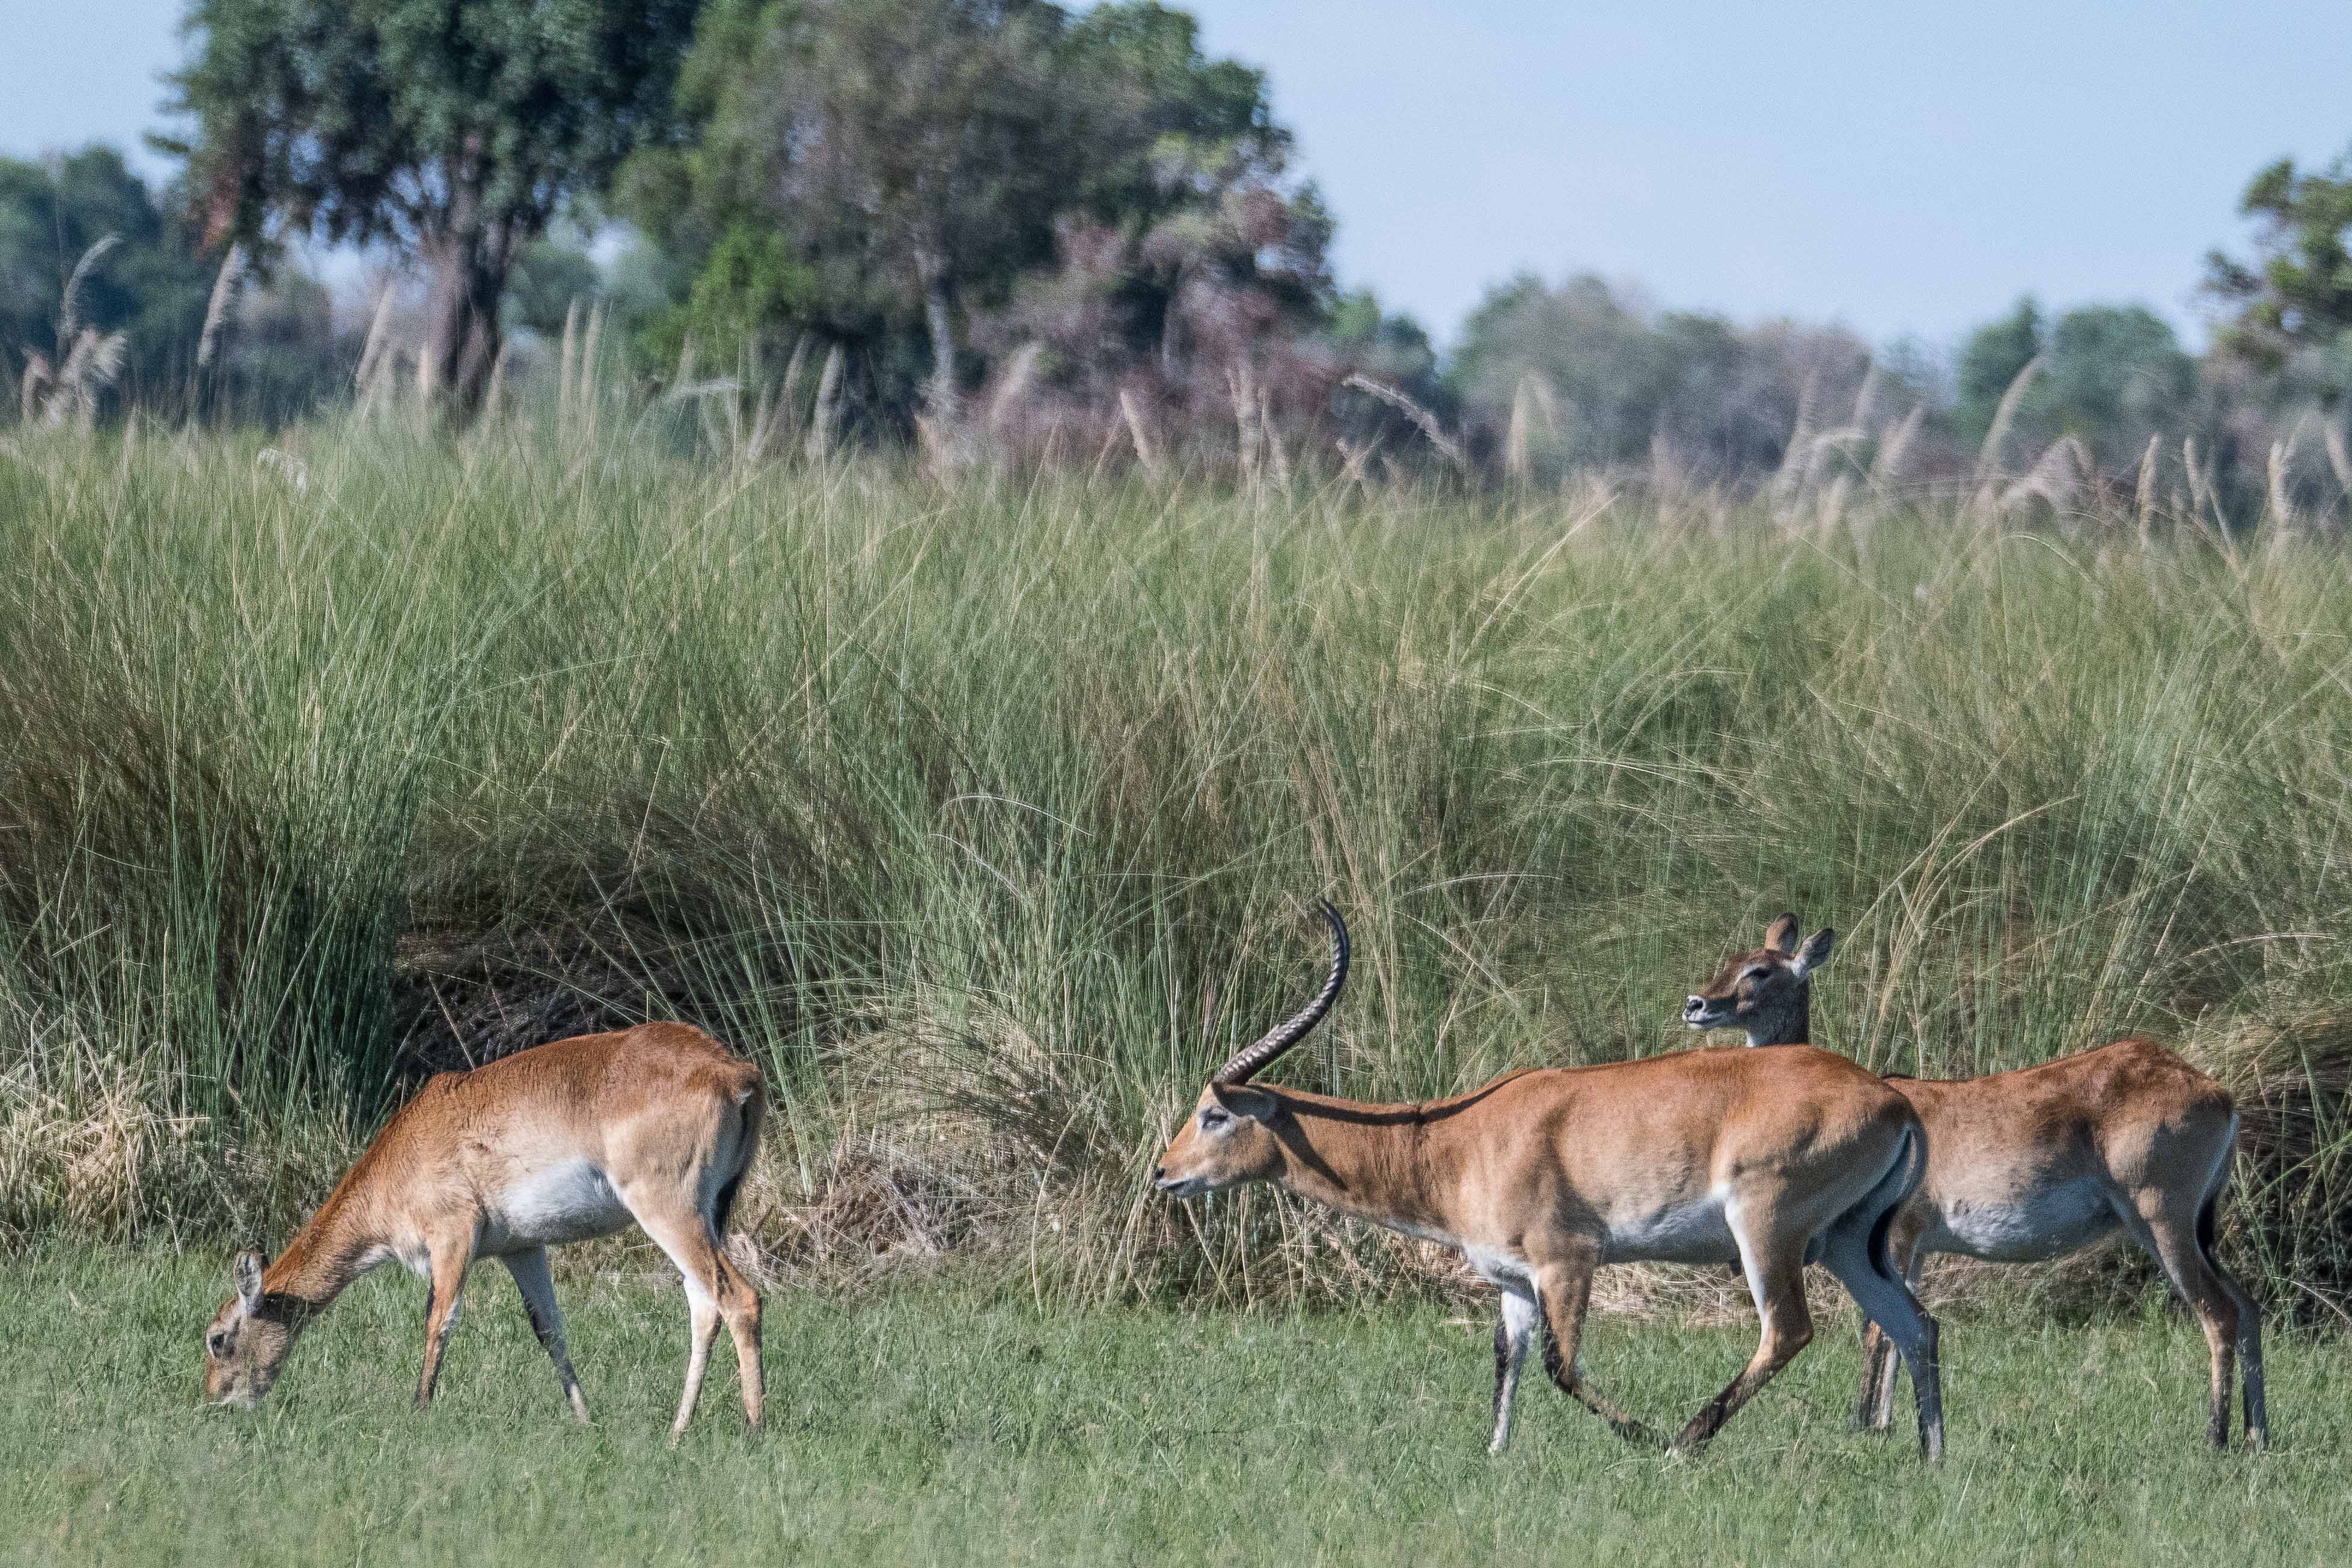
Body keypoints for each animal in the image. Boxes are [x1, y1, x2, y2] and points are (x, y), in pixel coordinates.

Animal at [203, 1025, 766, 1438]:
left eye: (217, 1338)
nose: (215, 1400)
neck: (403, 1152)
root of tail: (735, 1071)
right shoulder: (522, 1248)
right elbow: (549, 1329)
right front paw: (586, 1421)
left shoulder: (453, 1236)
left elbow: (439, 1321)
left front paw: (418, 1415)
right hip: (709, 1215)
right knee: (703, 1306)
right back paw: (677, 1431)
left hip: (668, 1210)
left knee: (739, 1297)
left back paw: (753, 1427)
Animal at [1152, 903, 1947, 1466]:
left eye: (1215, 1112)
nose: (1164, 1172)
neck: (1460, 1140)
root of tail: (1892, 1098)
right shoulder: (1511, 1279)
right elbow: (1508, 1360)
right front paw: (1495, 1454)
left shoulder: (1566, 1261)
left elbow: (1562, 1366)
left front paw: (1643, 1437)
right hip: (1850, 1242)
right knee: (1916, 1324)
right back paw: (1932, 1459)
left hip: (1767, 1231)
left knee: (1788, 1329)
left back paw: (1682, 1442)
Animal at [1693, 912, 2258, 1457]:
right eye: (1731, 959)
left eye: (1760, 970)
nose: (1696, 1004)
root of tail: (2218, 1093)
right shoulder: (1914, 1248)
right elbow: (1902, 1328)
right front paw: (1886, 1422)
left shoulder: (1893, 1237)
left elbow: (1878, 1327)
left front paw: (1863, 1424)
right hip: (2187, 1231)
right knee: (2248, 1305)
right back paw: (2258, 1436)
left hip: (2162, 1220)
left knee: (2218, 1311)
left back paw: (2215, 1438)